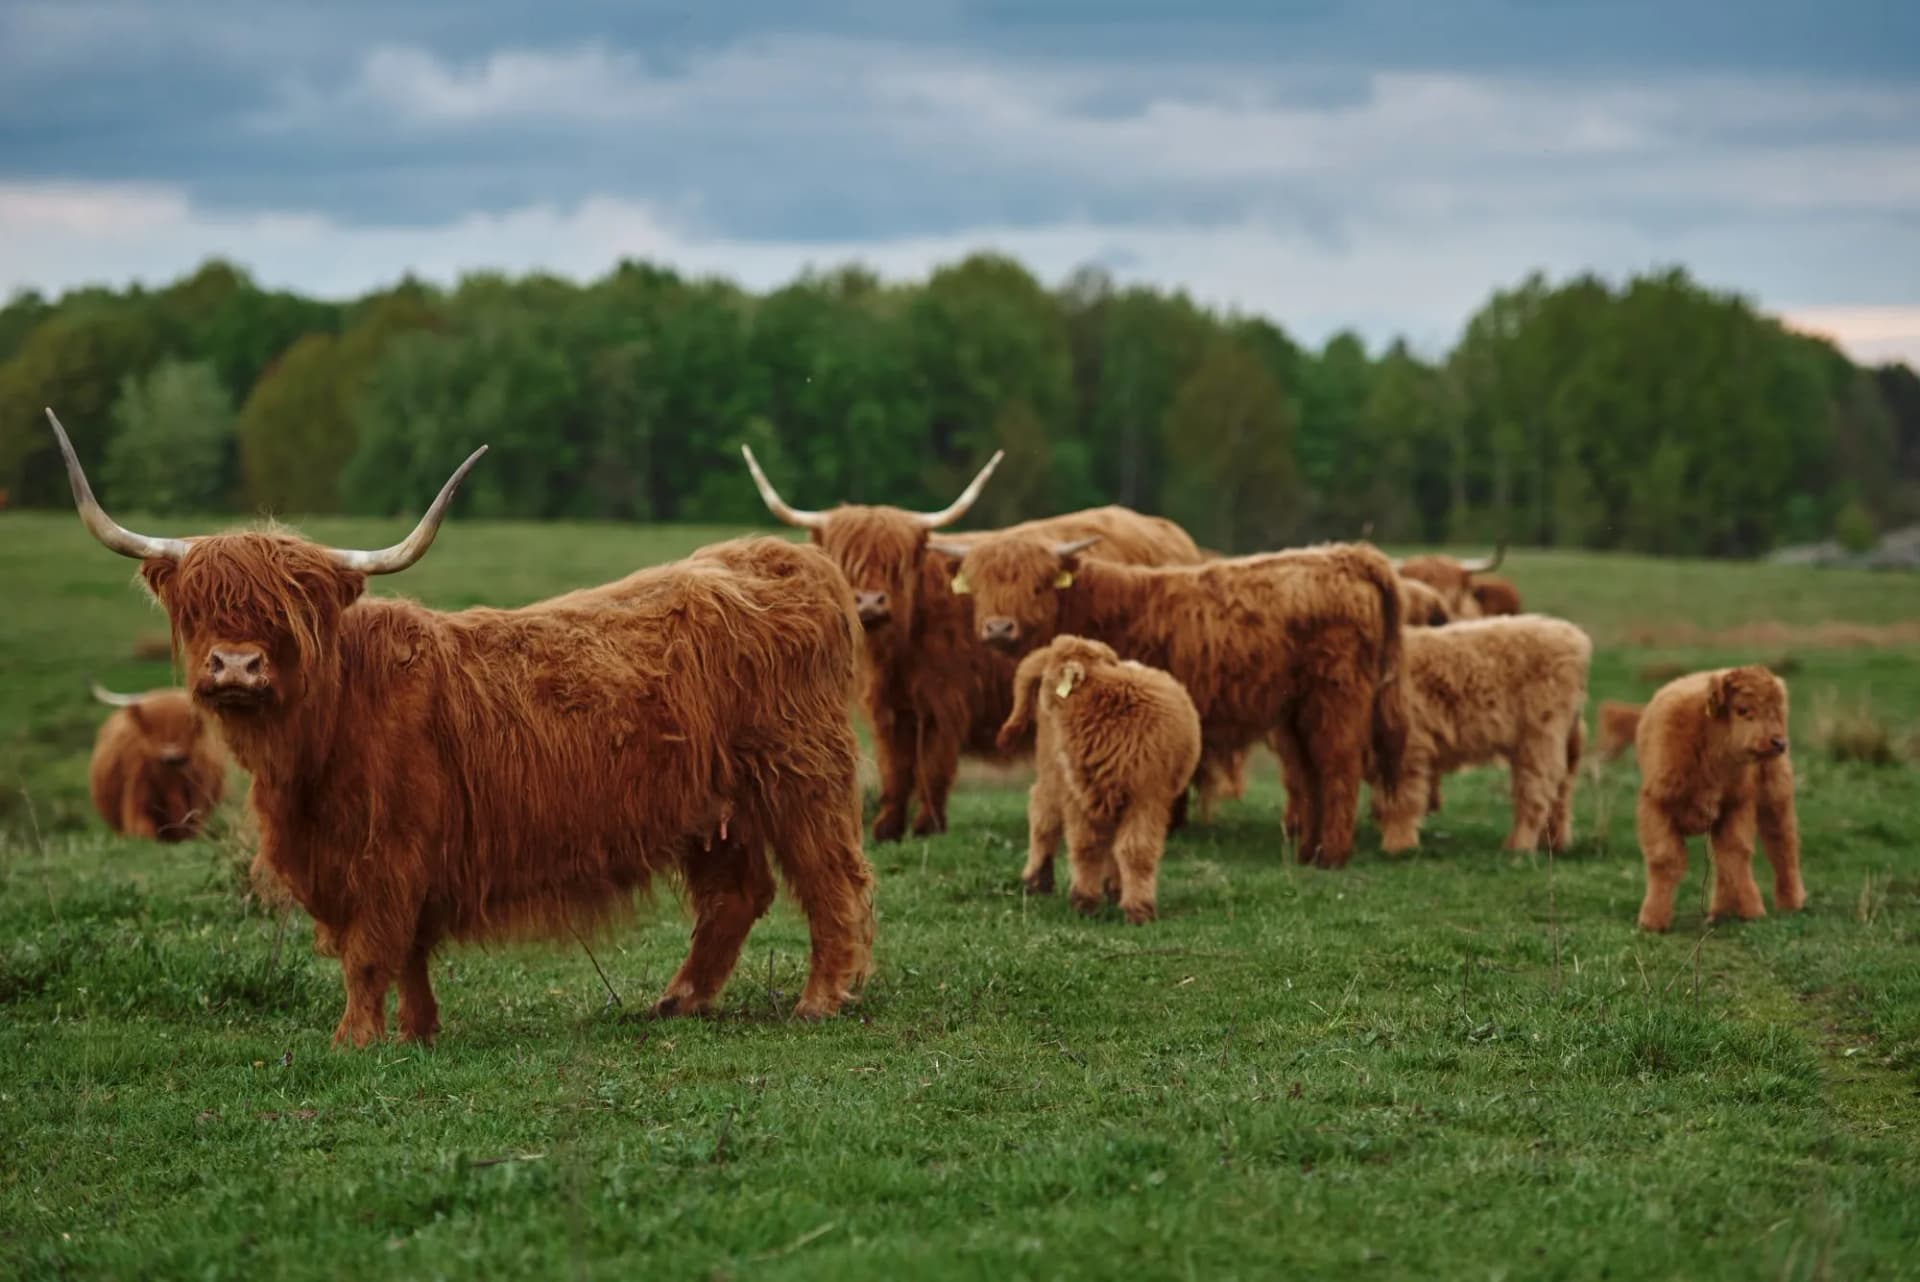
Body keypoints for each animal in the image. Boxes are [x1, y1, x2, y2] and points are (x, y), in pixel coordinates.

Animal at [740, 447, 1220, 840]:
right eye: (845, 559)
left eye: (898, 563)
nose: (870, 602)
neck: (899, 649)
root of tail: (1171, 533)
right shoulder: (888, 707)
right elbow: (896, 766)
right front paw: (887, 828)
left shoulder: (945, 703)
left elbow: (932, 765)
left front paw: (927, 826)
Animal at [937, 534, 1409, 868]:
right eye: (978, 586)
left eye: (1036, 586)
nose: (999, 628)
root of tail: (1348, 555)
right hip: (1298, 710)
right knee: (1310, 772)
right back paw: (1308, 850)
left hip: (1336, 697)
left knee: (1338, 766)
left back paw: (1332, 856)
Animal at [996, 636, 1201, 923]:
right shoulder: (1077, 794)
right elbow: (1086, 845)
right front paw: (1084, 902)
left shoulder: (1146, 797)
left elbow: (1135, 850)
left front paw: (1138, 909)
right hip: (1053, 773)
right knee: (1043, 814)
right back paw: (1037, 881)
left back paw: (1115, 889)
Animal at [1368, 616, 1591, 854]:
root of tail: (1573, 635)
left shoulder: (1406, 749)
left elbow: (1398, 799)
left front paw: (1398, 845)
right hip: (1563, 743)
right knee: (1561, 793)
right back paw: (1554, 843)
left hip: (1540, 738)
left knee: (1536, 793)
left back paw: (1518, 846)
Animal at [1634, 666, 1804, 932]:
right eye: (1742, 709)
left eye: (1773, 711)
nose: (1778, 742)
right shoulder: (1656, 806)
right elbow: (1665, 860)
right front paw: (1652, 920)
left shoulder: (1736, 805)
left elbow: (1736, 855)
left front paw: (1753, 911)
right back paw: (1720, 911)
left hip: (1775, 796)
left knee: (1782, 844)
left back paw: (1790, 903)